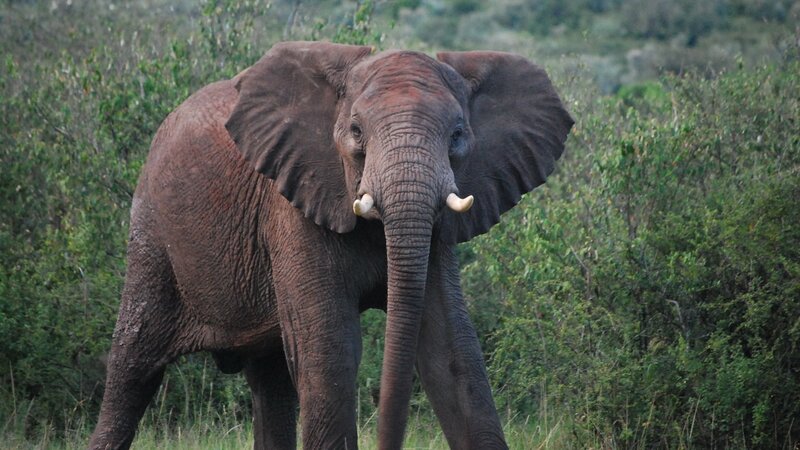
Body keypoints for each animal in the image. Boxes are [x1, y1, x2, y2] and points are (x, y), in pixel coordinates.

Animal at [88, 41, 573, 450]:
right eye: (356, 131)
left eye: (457, 135)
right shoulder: (291, 205)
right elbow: (331, 354)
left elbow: (451, 353)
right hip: (152, 233)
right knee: (132, 370)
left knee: (271, 382)